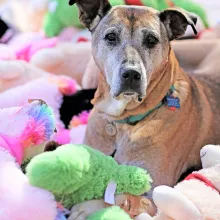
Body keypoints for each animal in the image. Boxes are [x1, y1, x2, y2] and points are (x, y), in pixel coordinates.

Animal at [68, 0, 220, 218]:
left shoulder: (153, 194)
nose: (131, 74)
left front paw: (87, 207)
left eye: (151, 40)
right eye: (111, 37)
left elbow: (120, 198)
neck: (124, 122)